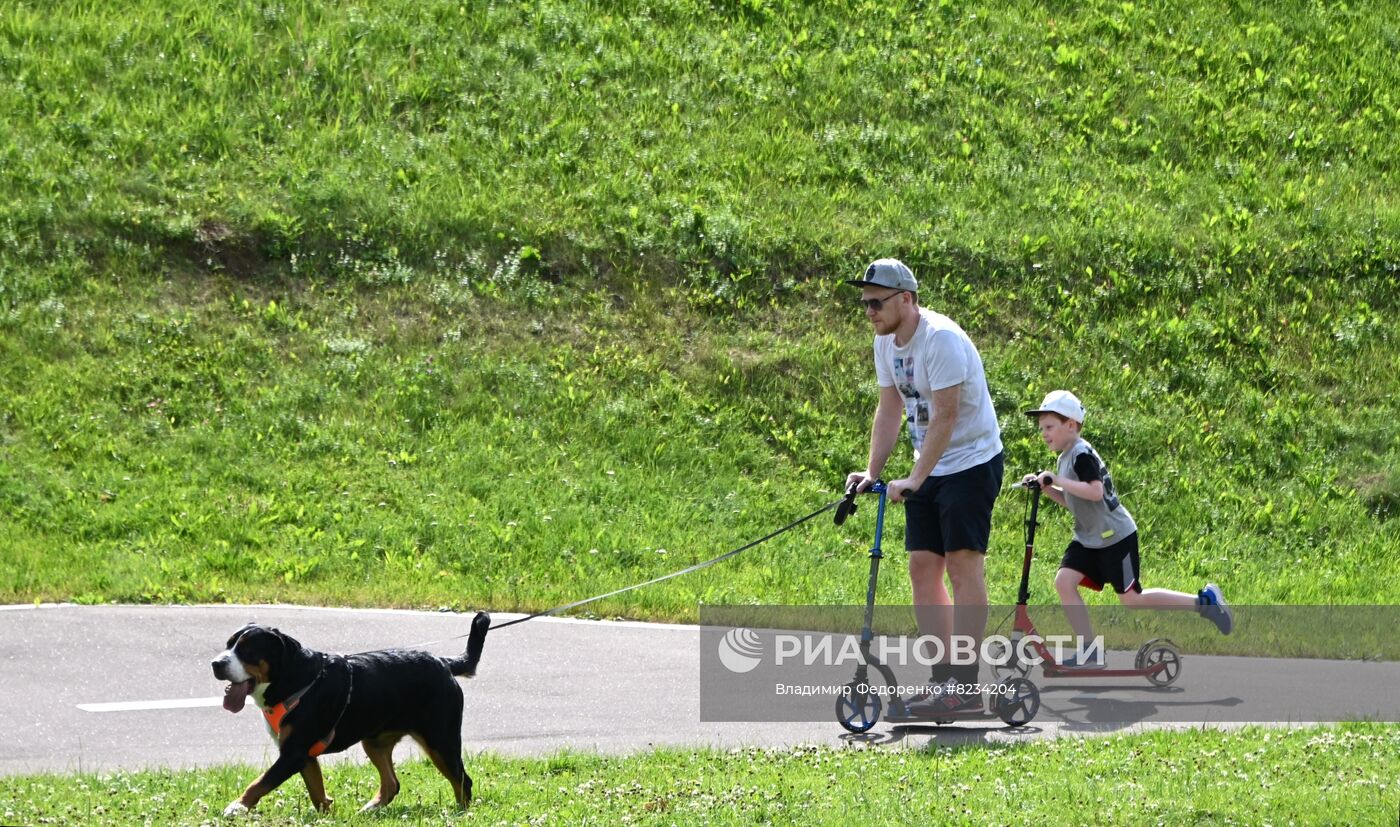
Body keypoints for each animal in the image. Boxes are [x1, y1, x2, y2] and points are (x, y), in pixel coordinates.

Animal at [210, 612, 490, 817]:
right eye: (228, 645)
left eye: (247, 651)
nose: (216, 663)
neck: (294, 679)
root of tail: (443, 662)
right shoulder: (304, 755)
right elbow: (316, 791)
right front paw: (327, 815)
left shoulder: (293, 753)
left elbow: (259, 783)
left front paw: (237, 806)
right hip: (376, 742)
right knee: (392, 784)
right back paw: (369, 809)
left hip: (440, 739)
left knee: (463, 781)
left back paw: (460, 814)